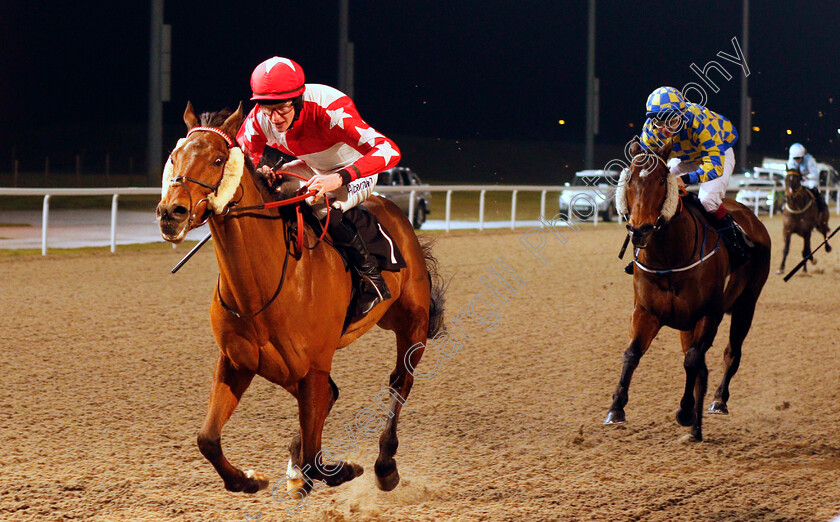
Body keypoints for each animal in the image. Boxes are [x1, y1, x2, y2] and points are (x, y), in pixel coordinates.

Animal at [157, 103, 446, 494]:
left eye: (218, 160)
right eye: (174, 157)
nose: (171, 213)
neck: (260, 290)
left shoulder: (313, 366)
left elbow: (315, 455)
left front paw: (337, 470)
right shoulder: (239, 362)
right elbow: (208, 439)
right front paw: (249, 479)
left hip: (411, 322)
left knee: (400, 381)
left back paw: (385, 465)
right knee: (334, 397)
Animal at [604, 140, 776, 440]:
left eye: (662, 181)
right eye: (630, 180)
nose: (640, 230)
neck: (670, 258)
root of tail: (752, 218)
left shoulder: (708, 315)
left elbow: (693, 362)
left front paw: (685, 412)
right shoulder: (646, 311)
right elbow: (632, 354)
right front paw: (616, 408)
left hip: (747, 304)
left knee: (731, 353)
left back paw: (718, 402)